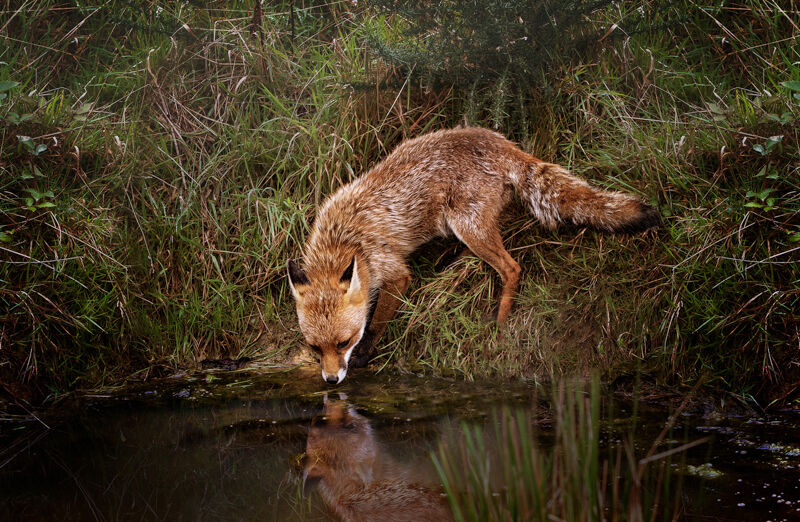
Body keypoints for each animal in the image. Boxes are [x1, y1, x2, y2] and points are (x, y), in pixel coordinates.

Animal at [284, 127, 660, 382]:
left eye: (344, 342)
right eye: (316, 348)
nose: (331, 381)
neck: (343, 242)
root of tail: (502, 144)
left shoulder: (393, 272)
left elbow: (376, 322)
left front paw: (364, 355)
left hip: (469, 227)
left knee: (512, 268)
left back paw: (501, 321)